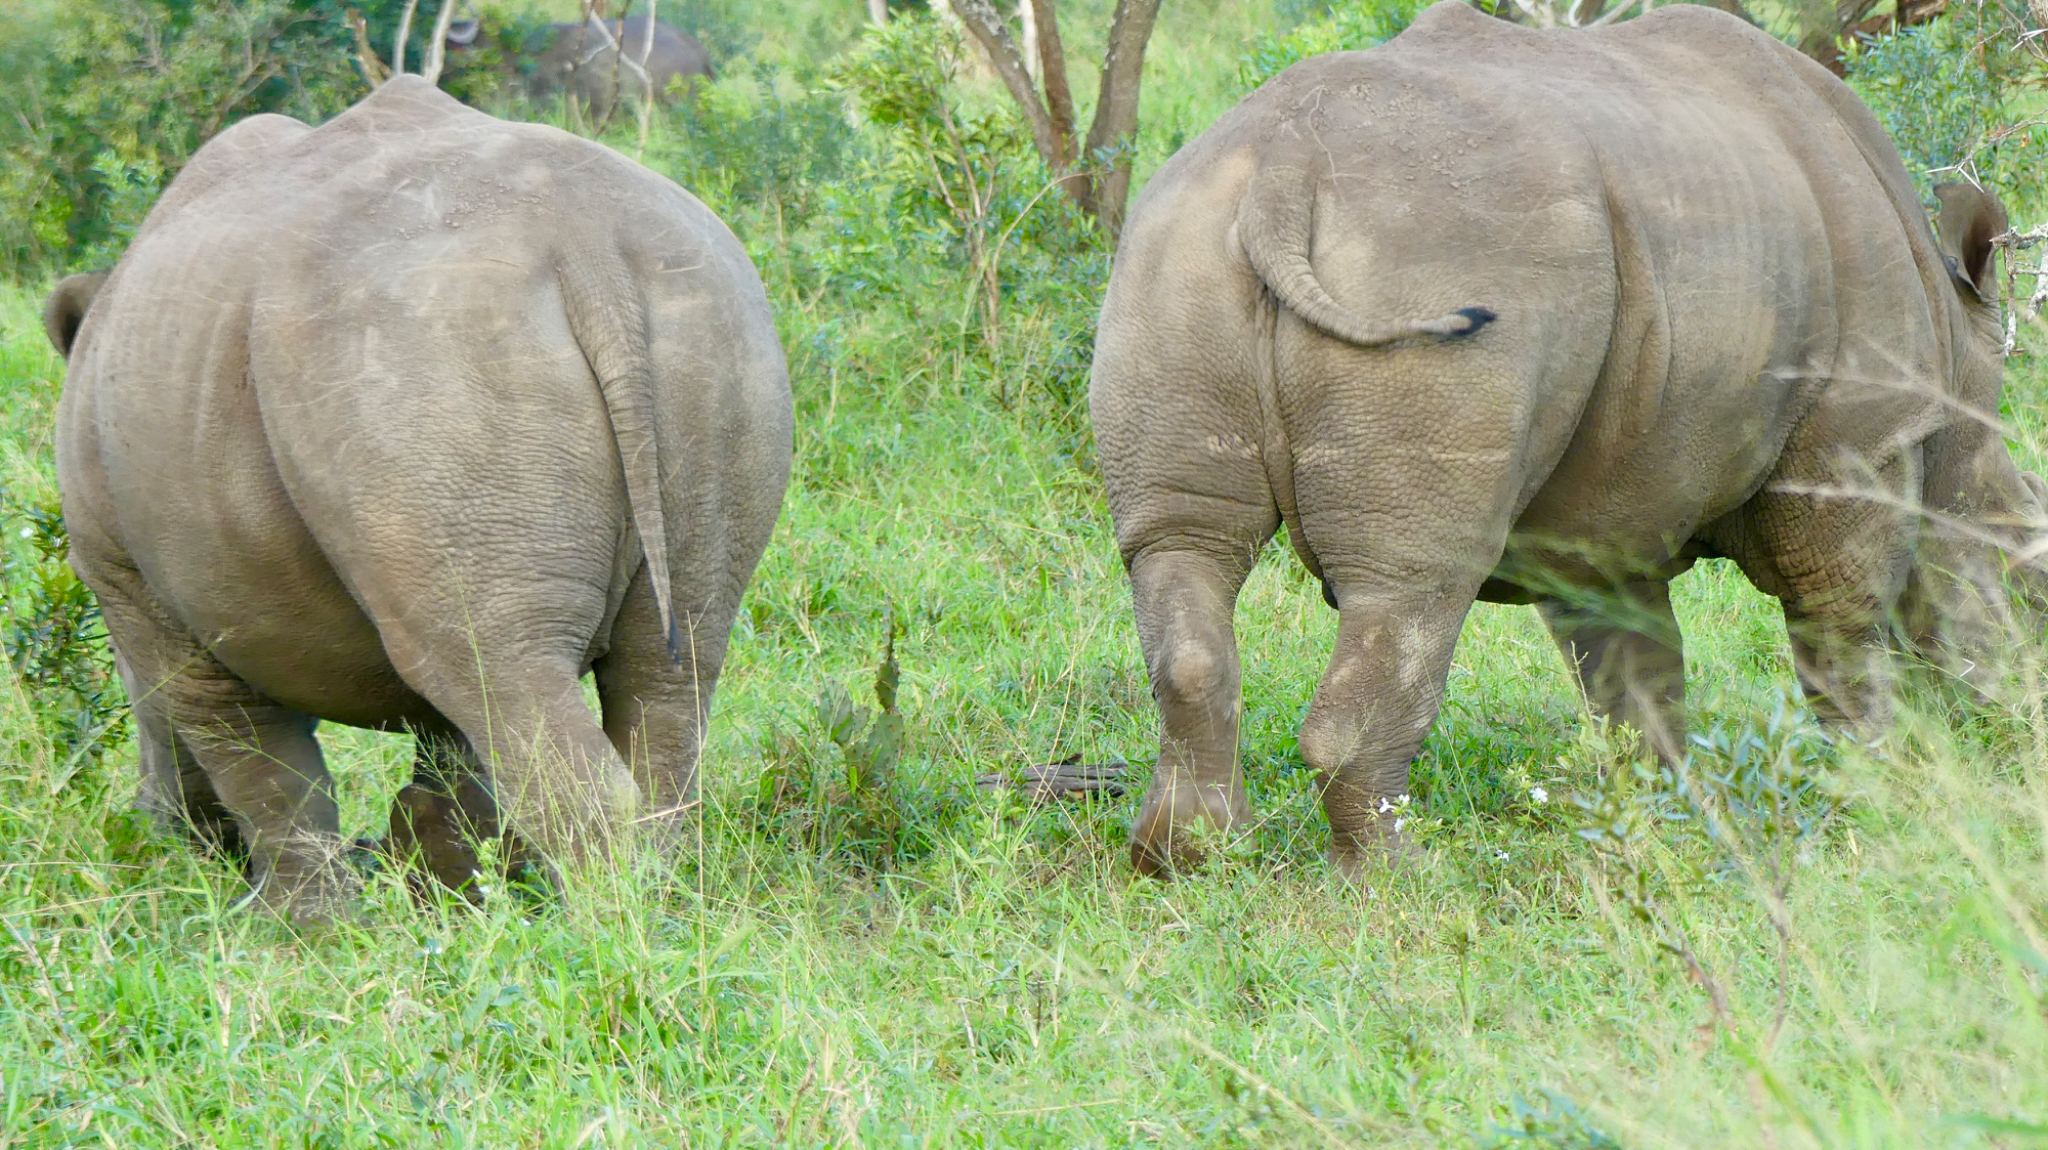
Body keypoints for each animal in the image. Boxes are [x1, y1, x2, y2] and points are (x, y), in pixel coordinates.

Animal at [44, 76, 792, 924]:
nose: (151, 824)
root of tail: (584, 244)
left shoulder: (137, 588)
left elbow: (261, 769)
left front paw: (306, 931)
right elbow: (445, 751)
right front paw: (450, 900)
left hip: (422, 358)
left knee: (505, 669)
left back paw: (609, 932)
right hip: (709, 322)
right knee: (666, 664)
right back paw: (669, 910)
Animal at [1089, 1, 2047, 877]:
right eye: (2031, 580)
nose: (2021, 726)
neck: (1955, 372)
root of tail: (1283, 170)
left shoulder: (1610, 509)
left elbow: (1635, 671)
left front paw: (1670, 814)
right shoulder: (1858, 441)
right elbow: (1844, 624)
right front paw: (1890, 790)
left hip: (1171, 253)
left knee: (1183, 547)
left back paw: (1187, 861)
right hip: (1437, 258)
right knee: (1413, 586)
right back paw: (1404, 882)